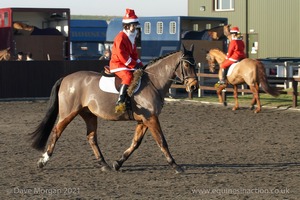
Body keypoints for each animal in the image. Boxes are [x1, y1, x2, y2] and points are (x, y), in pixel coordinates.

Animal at [30, 44, 198, 173]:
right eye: (187, 65)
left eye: (195, 65)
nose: (194, 86)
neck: (153, 82)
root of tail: (65, 78)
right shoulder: (151, 119)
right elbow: (162, 141)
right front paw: (175, 165)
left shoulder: (144, 120)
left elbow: (135, 143)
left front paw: (118, 162)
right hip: (68, 113)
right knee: (56, 131)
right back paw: (43, 161)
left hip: (89, 114)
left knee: (91, 137)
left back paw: (103, 164)